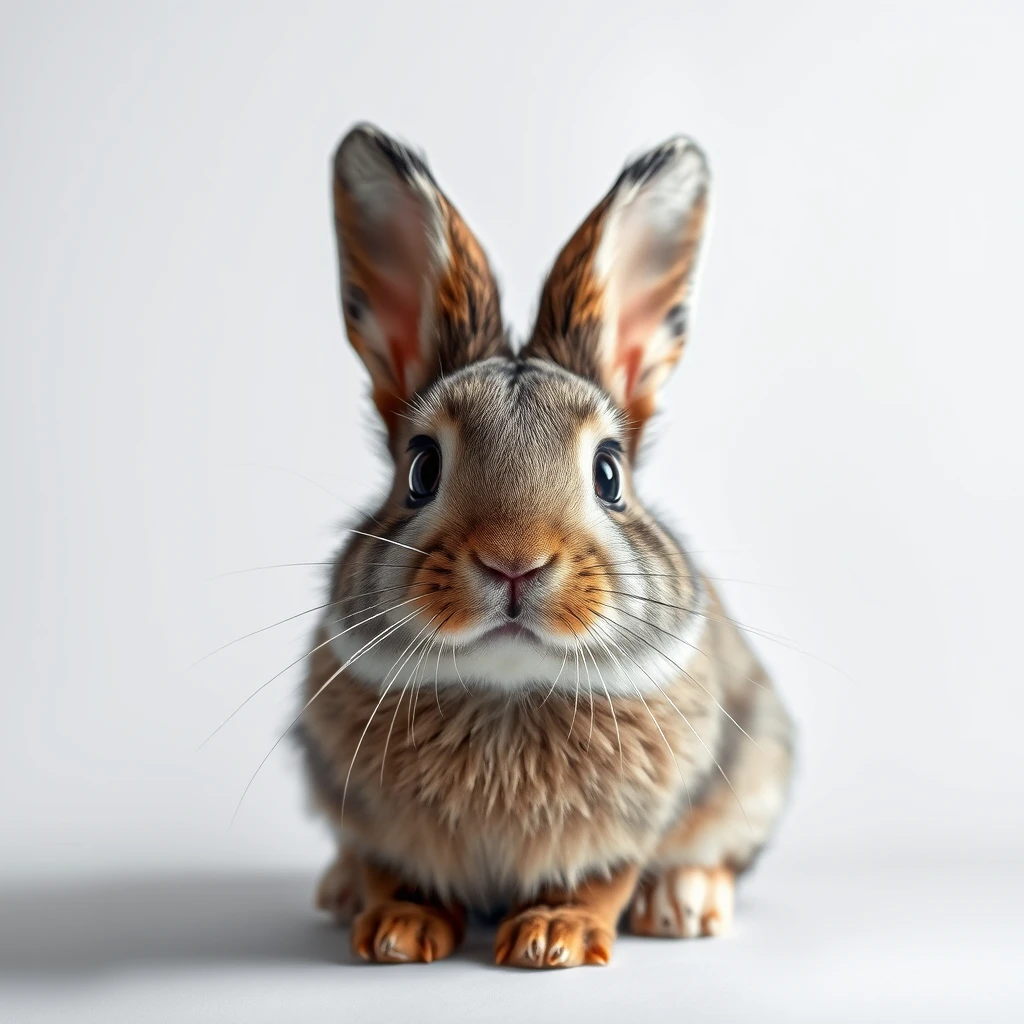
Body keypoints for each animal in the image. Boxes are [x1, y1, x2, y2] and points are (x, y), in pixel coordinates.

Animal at [292, 121, 794, 966]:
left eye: (609, 473)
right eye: (420, 469)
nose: (514, 561)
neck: (508, 688)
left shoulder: (632, 823)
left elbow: (603, 878)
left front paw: (553, 937)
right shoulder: (363, 808)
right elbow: (391, 868)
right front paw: (397, 932)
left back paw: (684, 902)